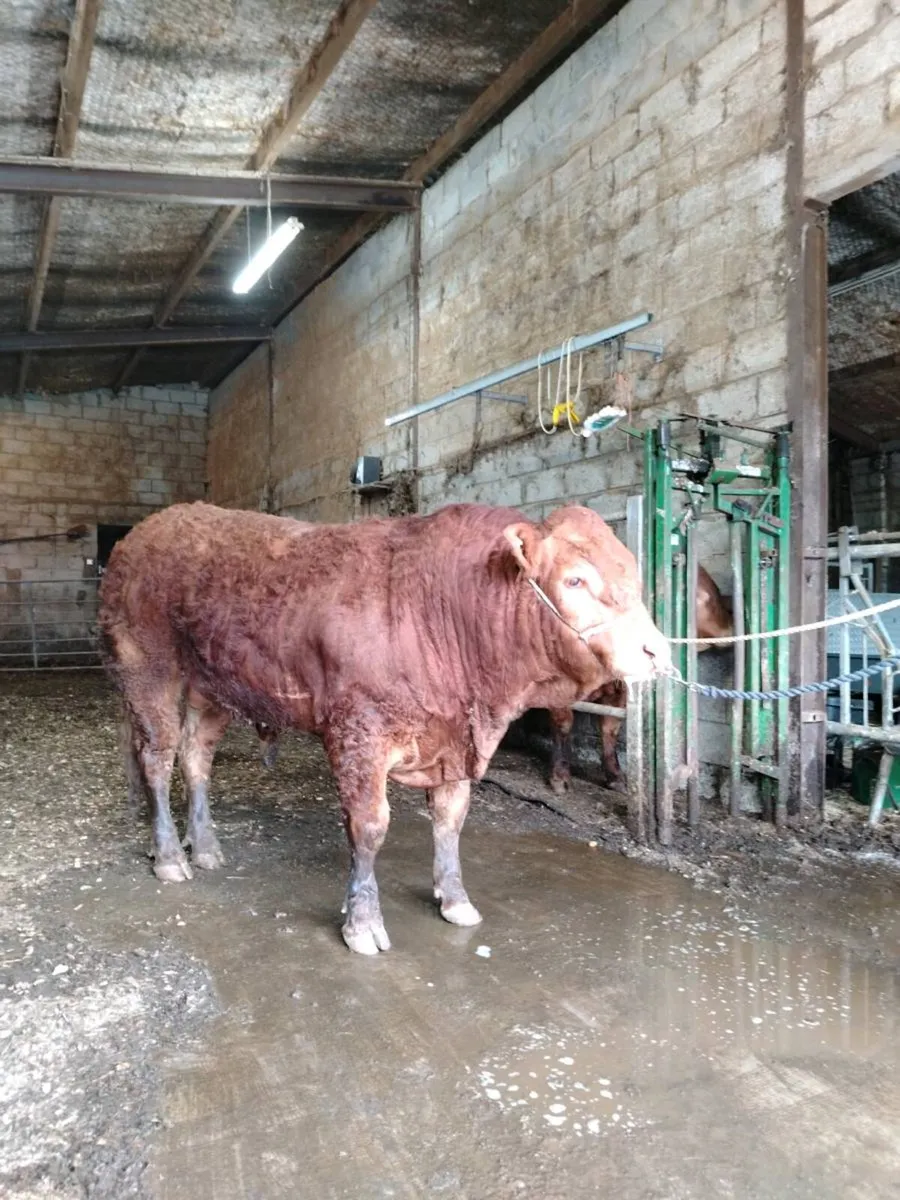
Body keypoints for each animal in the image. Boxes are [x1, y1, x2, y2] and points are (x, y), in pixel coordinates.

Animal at [98, 501, 670, 955]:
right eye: (575, 579)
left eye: (634, 577)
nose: (657, 651)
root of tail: (150, 528)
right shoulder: (359, 735)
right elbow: (369, 828)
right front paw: (362, 923)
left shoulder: (452, 743)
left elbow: (450, 821)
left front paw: (454, 898)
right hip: (147, 668)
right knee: (157, 757)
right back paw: (170, 856)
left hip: (211, 687)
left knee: (195, 757)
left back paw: (206, 846)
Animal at [547, 564, 733, 794]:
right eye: (701, 597)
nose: (732, 626)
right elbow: (563, 724)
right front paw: (560, 781)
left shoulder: (621, 687)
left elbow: (610, 727)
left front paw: (618, 779)